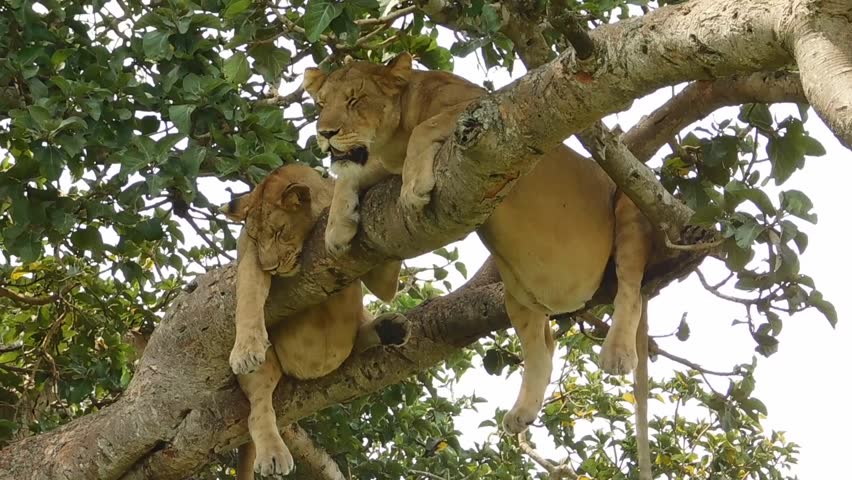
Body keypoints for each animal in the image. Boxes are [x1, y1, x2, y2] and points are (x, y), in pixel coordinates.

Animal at [222, 163, 409, 478]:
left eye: (280, 231)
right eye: (257, 238)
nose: (270, 266)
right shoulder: (248, 256)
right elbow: (248, 295)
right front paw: (246, 350)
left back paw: (390, 328)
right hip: (267, 370)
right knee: (259, 410)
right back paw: (273, 454)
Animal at [303, 53, 655, 478]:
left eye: (355, 100)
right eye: (321, 104)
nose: (324, 133)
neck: (390, 143)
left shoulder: (483, 112)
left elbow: (424, 129)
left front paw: (413, 189)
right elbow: (350, 179)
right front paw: (338, 227)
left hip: (630, 203)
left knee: (631, 288)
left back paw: (617, 354)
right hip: (518, 292)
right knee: (542, 345)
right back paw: (521, 413)